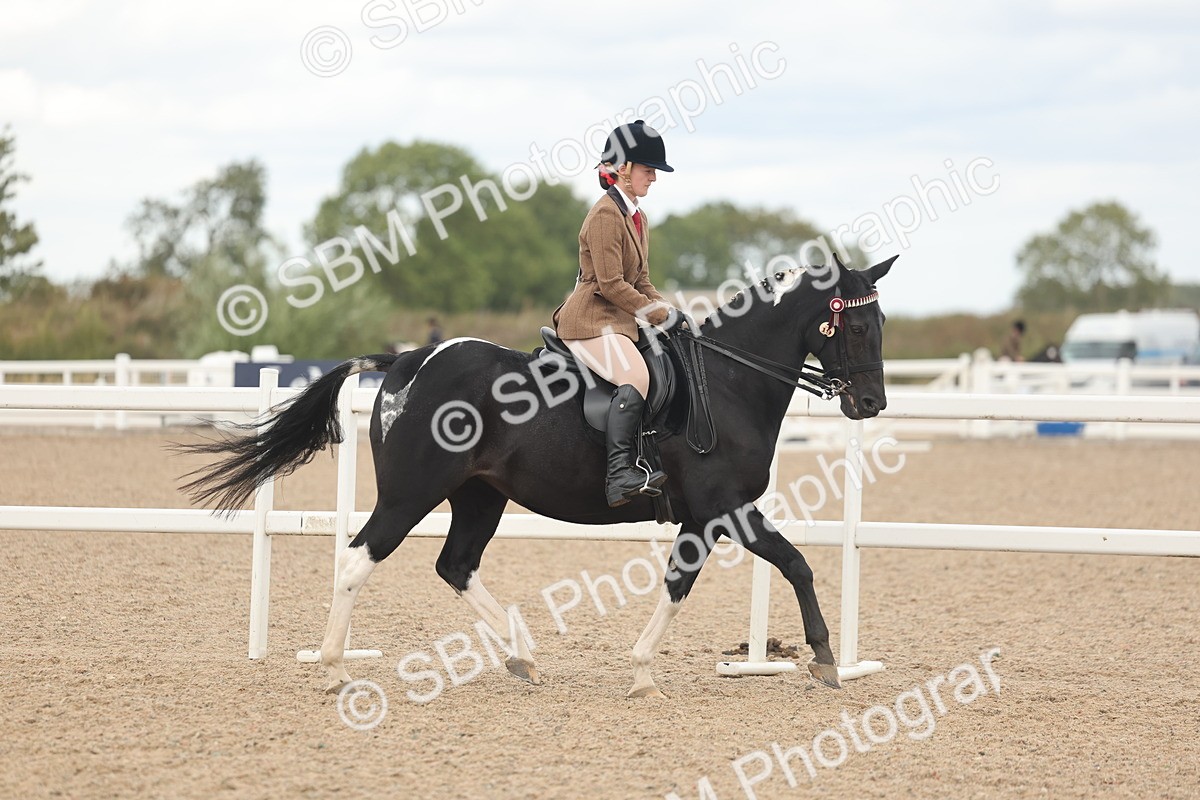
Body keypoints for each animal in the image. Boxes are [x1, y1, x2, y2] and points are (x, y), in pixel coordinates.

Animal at [179, 254, 896, 697]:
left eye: (882, 321)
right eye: (857, 325)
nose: (871, 404)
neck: (728, 381)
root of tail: (410, 359)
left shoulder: (702, 517)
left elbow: (678, 584)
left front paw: (642, 673)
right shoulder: (726, 507)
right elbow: (797, 564)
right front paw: (825, 660)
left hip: (478, 497)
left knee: (455, 565)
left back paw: (522, 655)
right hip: (413, 492)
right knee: (359, 560)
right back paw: (332, 669)